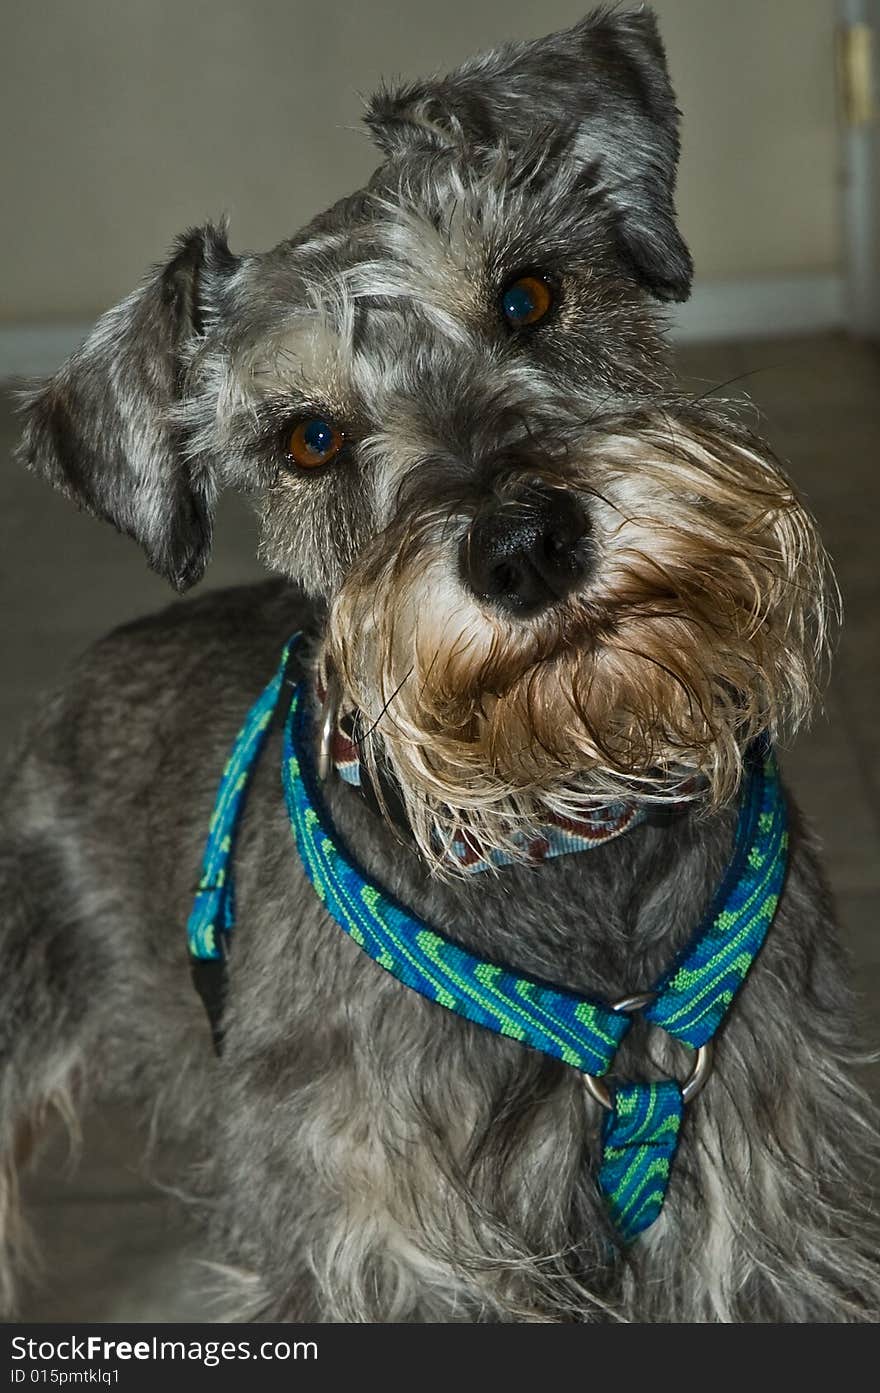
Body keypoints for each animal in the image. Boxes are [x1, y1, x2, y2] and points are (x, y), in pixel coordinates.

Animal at [1, 5, 880, 1320]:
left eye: (528, 293)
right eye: (308, 439)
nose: (523, 544)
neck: (567, 823)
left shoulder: (768, 1214)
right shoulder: (380, 1240)